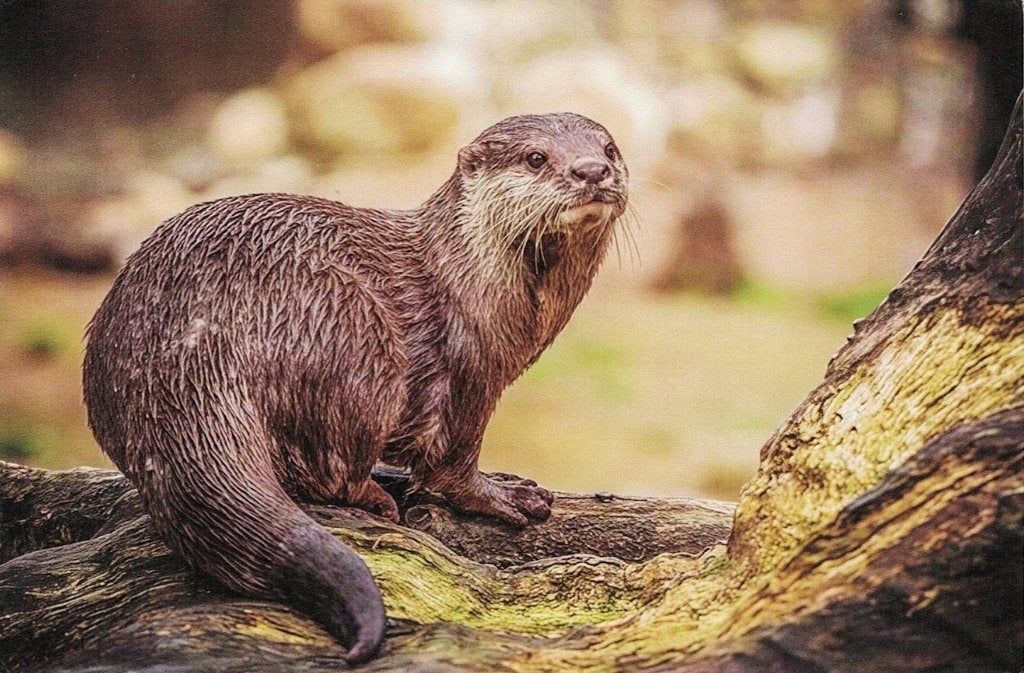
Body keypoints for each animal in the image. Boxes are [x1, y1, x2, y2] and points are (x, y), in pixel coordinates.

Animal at [82, 112, 629, 663]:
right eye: (536, 157)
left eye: (609, 148)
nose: (591, 170)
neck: (470, 279)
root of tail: (182, 355)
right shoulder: (469, 367)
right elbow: (452, 461)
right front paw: (502, 496)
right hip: (354, 327)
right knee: (330, 470)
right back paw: (378, 499)